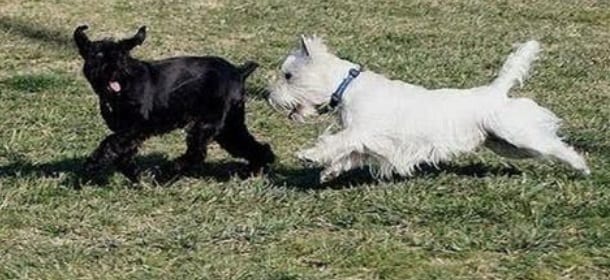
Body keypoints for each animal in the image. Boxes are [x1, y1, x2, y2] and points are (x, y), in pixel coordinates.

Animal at [73, 25, 274, 180]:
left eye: (122, 55)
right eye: (99, 54)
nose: (117, 69)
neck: (123, 88)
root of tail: (238, 72)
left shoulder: (135, 127)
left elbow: (109, 142)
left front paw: (92, 164)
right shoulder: (129, 135)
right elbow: (122, 155)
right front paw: (135, 175)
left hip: (206, 125)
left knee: (197, 154)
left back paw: (169, 172)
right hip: (229, 127)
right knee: (252, 146)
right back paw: (254, 169)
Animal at [268, 36, 588, 183]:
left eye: (288, 76)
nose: (269, 97)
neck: (348, 87)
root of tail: (497, 91)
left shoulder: (365, 130)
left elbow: (336, 141)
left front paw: (309, 155)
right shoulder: (370, 141)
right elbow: (347, 154)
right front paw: (328, 173)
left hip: (516, 133)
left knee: (556, 145)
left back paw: (582, 167)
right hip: (505, 144)